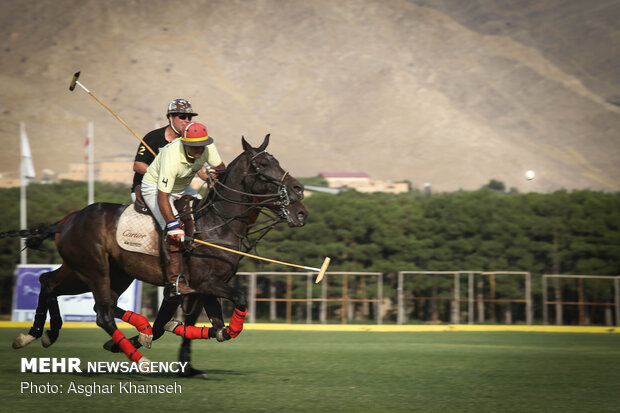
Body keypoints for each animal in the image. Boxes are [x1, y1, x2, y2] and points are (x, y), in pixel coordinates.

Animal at [9, 136, 308, 366]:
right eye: (262, 165)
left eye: (277, 161)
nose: (299, 194)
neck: (217, 225)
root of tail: (66, 221)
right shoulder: (201, 283)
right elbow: (237, 303)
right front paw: (141, 338)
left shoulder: (204, 287)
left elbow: (219, 330)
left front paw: (158, 330)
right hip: (94, 269)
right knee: (102, 312)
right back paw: (139, 359)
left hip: (99, 271)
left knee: (51, 283)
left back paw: (37, 334)